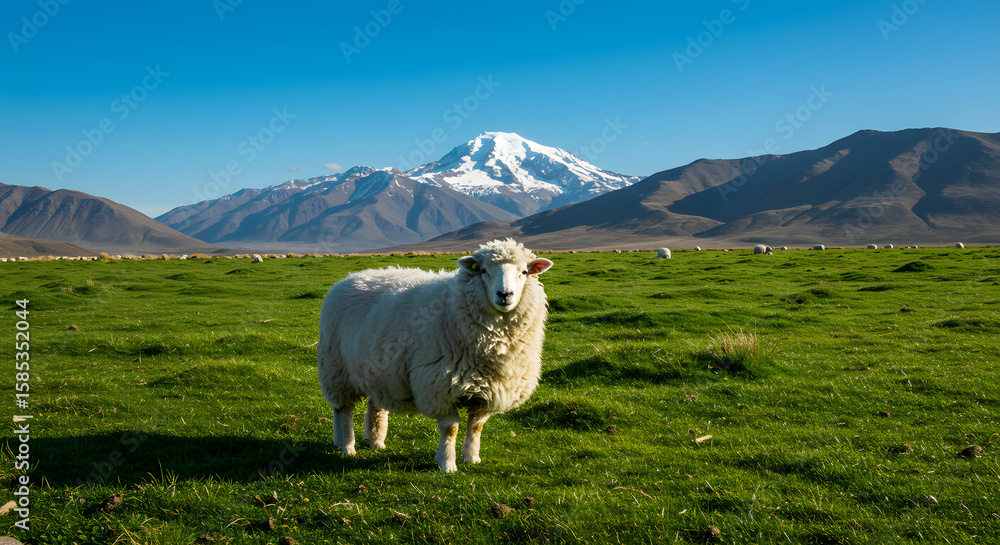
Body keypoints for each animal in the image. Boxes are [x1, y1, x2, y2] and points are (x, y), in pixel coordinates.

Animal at [318, 238, 553, 473]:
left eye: (524, 272)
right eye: (483, 271)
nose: (505, 295)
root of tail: (351, 278)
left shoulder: (489, 389)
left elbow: (476, 426)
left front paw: (472, 458)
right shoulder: (439, 386)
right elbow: (450, 429)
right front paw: (447, 464)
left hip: (379, 371)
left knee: (375, 405)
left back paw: (375, 441)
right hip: (336, 369)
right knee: (342, 409)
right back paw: (346, 445)